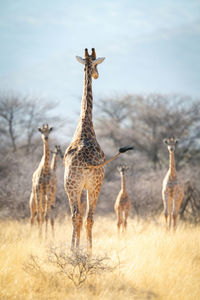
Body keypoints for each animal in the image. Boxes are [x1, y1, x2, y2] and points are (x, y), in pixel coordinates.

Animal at [64, 48, 133, 254]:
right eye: (97, 65)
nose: (96, 75)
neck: (85, 127)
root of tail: (86, 163)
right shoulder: (89, 185)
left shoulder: (81, 186)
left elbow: (78, 215)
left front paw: (76, 248)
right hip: (94, 185)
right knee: (88, 217)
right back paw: (87, 252)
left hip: (73, 185)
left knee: (77, 215)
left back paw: (75, 251)